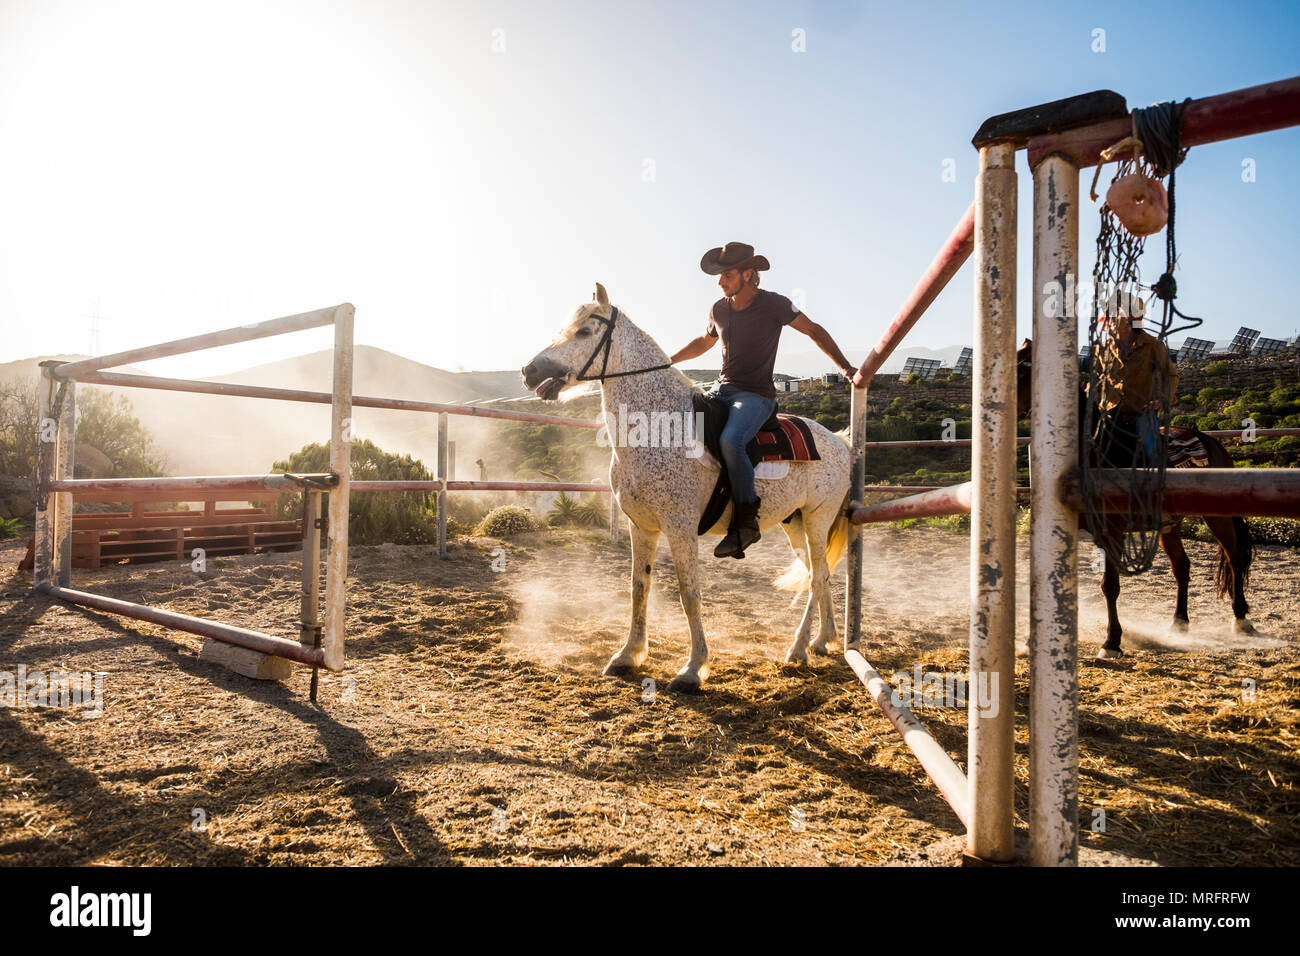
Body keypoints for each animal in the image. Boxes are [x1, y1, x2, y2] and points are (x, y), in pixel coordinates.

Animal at [520, 280, 852, 691]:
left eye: (584, 331)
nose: (529, 370)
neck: (659, 424)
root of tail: (839, 440)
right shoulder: (641, 526)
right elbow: (638, 588)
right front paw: (628, 655)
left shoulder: (680, 528)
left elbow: (689, 594)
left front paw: (693, 669)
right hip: (796, 524)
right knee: (816, 577)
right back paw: (823, 639)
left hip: (818, 518)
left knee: (818, 576)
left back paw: (799, 648)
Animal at [1013, 338, 1248, 658]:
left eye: (1024, 369)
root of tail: (1212, 443)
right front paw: (1030, 641)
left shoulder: (1112, 531)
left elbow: (1110, 585)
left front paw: (1111, 642)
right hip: (1170, 525)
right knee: (1182, 567)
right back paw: (1179, 623)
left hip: (1217, 516)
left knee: (1234, 557)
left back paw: (1241, 619)